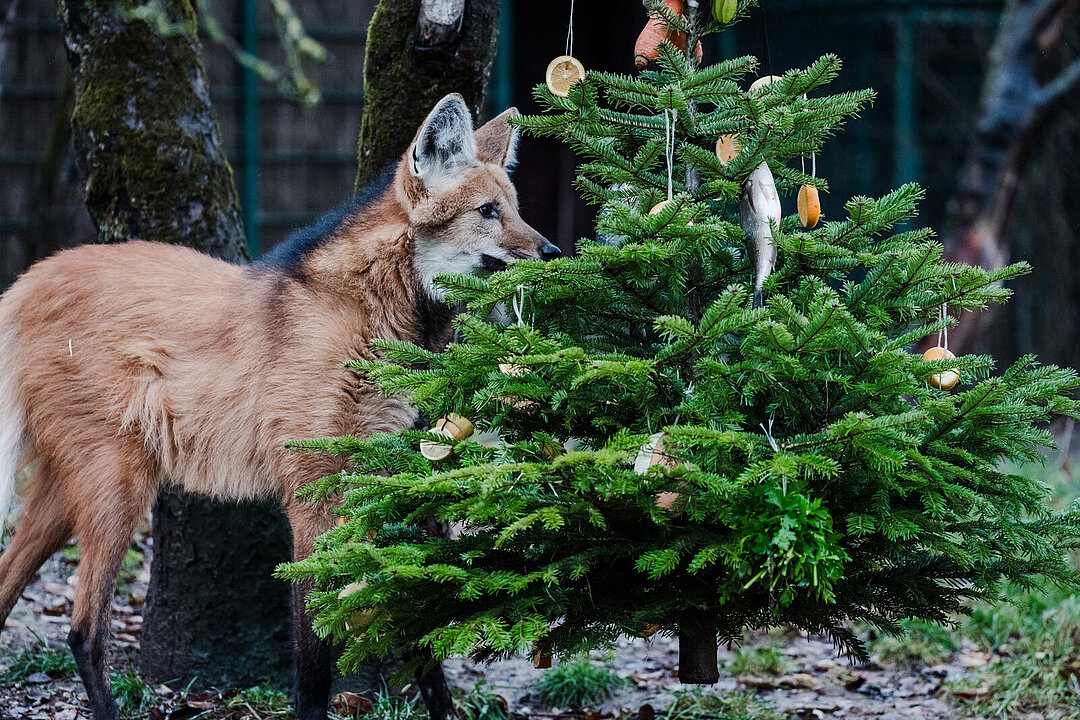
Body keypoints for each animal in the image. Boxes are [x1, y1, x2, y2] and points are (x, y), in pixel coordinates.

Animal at [0, 95, 557, 720]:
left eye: (516, 211)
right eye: (488, 212)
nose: (553, 252)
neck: (375, 316)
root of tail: (27, 281)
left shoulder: (373, 479)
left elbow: (417, 633)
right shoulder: (314, 494)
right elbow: (314, 652)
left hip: (74, 483)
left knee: (6, 586)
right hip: (119, 480)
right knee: (84, 630)